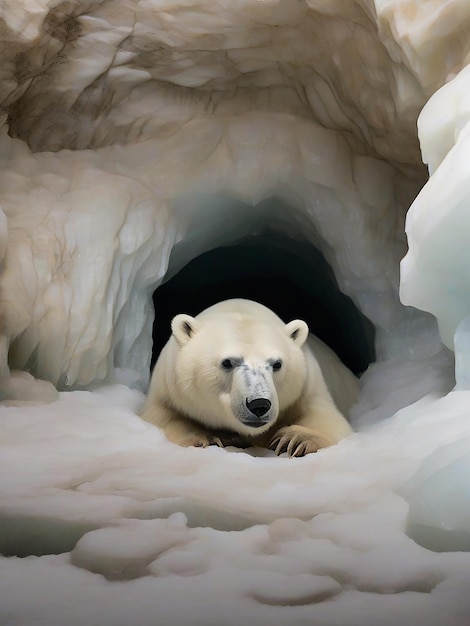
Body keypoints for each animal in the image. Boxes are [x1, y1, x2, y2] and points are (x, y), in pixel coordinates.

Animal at [141, 298, 358, 454]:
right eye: (227, 362)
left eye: (277, 364)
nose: (259, 404)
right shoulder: (167, 390)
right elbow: (162, 418)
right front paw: (208, 437)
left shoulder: (308, 387)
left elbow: (328, 420)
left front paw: (296, 440)